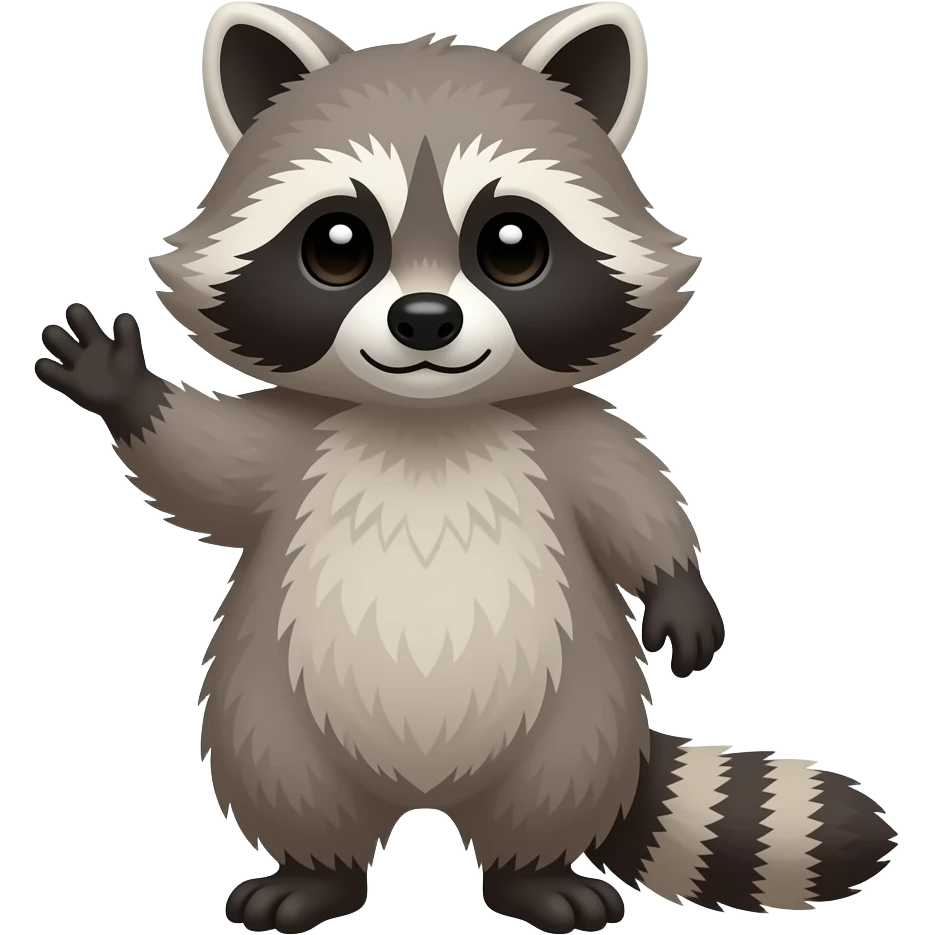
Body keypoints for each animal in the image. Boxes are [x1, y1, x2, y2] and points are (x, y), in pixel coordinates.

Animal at [36, 3, 898, 933]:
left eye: (511, 245)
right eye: (336, 245)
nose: (424, 320)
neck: (426, 419)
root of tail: (425, 793)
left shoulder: (564, 432)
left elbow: (632, 492)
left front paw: (678, 583)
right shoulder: (298, 440)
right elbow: (207, 466)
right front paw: (126, 390)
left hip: (579, 708)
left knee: (554, 784)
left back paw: (534, 873)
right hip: (268, 698)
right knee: (282, 776)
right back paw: (315, 873)